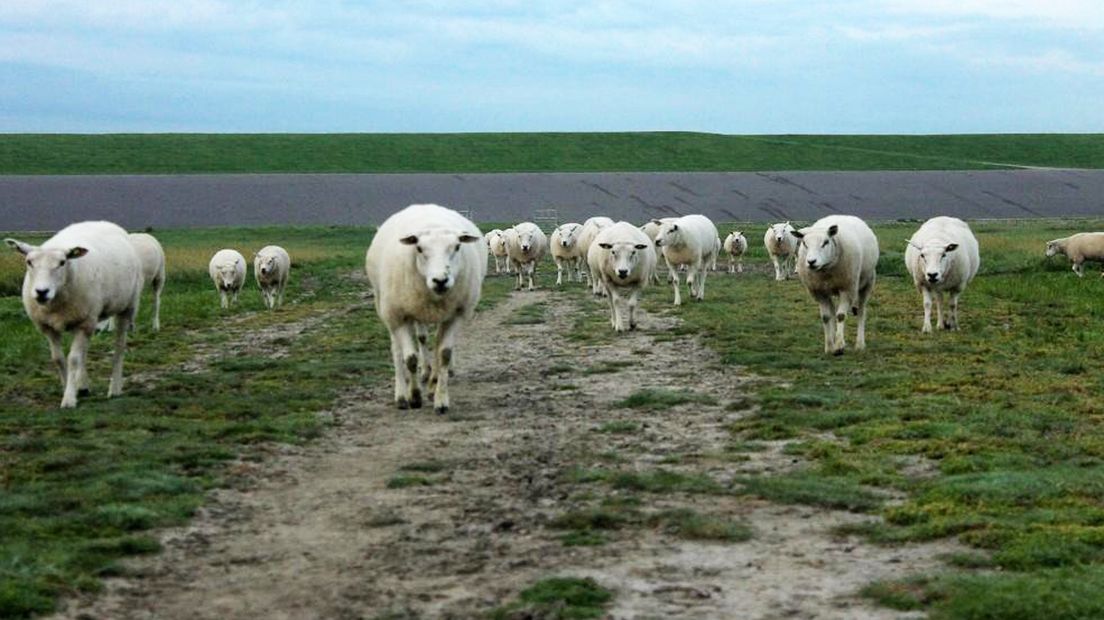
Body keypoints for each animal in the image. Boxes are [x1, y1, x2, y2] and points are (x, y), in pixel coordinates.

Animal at [5, 219, 143, 408]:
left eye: (62, 262)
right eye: (29, 262)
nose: (41, 292)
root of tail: (102, 222)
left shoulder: (83, 323)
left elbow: (73, 359)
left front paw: (69, 399)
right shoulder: (48, 327)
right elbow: (58, 358)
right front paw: (68, 388)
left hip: (126, 306)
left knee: (119, 347)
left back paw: (114, 389)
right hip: (86, 317)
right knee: (85, 349)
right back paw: (83, 386)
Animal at [364, 202, 485, 412]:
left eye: (457, 246)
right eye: (419, 248)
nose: (440, 281)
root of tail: (424, 206)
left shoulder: (456, 314)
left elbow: (444, 354)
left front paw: (440, 399)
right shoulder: (400, 316)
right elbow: (410, 358)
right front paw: (414, 396)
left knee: (432, 344)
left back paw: (432, 380)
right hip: (388, 309)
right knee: (397, 349)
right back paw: (401, 394)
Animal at [794, 215, 878, 355]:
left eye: (825, 242)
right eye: (804, 243)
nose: (811, 262)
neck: (826, 271)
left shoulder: (847, 288)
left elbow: (840, 316)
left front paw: (839, 346)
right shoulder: (819, 292)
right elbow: (826, 317)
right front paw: (829, 347)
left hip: (867, 282)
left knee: (861, 312)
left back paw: (860, 344)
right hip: (830, 289)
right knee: (832, 311)